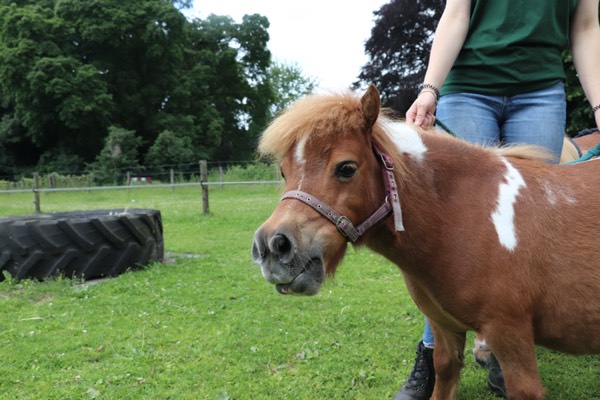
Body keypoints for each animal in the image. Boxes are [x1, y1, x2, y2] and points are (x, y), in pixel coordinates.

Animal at [251, 85, 600, 400]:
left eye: (346, 168)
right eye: (284, 171)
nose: (273, 247)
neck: (465, 216)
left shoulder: (509, 335)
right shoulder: (444, 328)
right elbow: (444, 372)